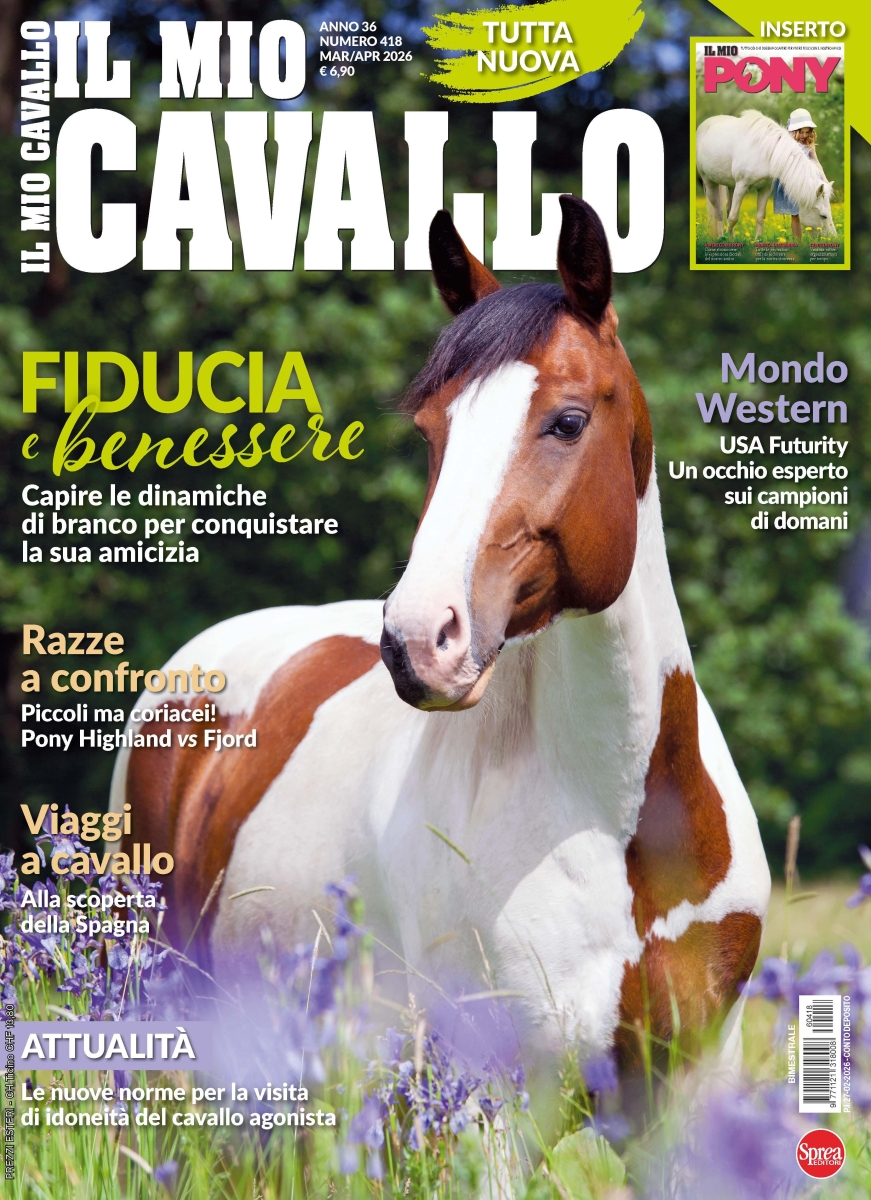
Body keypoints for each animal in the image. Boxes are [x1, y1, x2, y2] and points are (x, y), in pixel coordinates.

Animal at [697, 110, 836, 240]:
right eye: (823, 216)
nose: (833, 238)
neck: (767, 152)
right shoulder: (741, 186)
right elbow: (733, 217)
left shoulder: (765, 189)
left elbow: (759, 217)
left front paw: (757, 241)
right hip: (709, 182)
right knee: (719, 212)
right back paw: (722, 237)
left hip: (731, 185)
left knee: (727, 208)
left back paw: (732, 238)